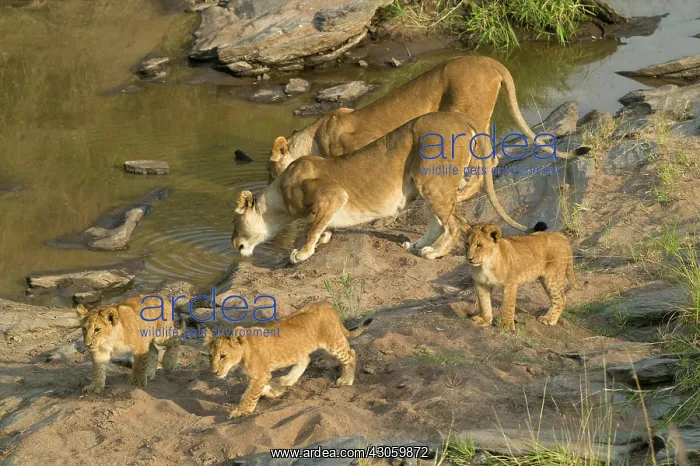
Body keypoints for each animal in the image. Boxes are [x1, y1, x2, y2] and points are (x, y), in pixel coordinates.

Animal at [203, 300, 372, 418]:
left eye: (223, 356)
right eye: (210, 356)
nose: (214, 372)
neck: (245, 350)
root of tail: (327, 304)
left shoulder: (260, 375)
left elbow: (249, 395)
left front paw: (241, 412)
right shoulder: (261, 376)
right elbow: (255, 390)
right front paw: (274, 391)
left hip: (333, 342)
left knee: (350, 353)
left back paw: (346, 380)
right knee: (306, 359)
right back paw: (286, 380)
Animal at [233, 111, 546, 265]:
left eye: (234, 224)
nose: (234, 245)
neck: (276, 200)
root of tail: (459, 117)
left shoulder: (332, 193)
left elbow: (311, 226)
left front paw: (301, 252)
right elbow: (320, 224)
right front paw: (323, 238)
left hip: (430, 179)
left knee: (456, 225)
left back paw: (433, 253)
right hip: (426, 183)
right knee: (441, 221)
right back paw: (418, 245)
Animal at [268, 55, 583, 182]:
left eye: (271, 171)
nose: (269, 185)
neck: (314, 135)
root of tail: (490, 61)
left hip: (463, 109)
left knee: (484, 154)